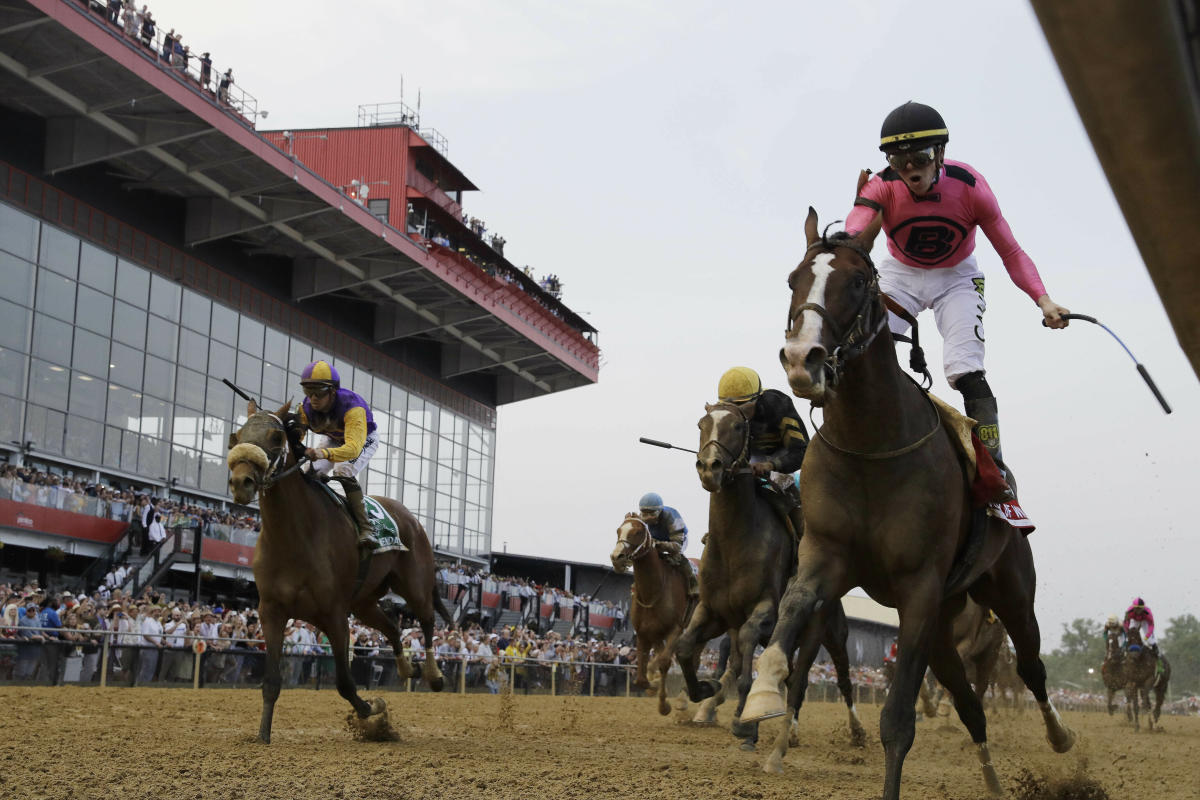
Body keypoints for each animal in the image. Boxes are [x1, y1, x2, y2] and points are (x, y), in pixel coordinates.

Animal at [224, 400, 451, 743]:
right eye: (236, 436)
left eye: (276, 437)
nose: (241, 483)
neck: (294, 538)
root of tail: (411, 518)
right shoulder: (271, 611)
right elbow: (271, 681)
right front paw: (262, 735)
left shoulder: (334, 615)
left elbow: (345, 682)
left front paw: (373, 710)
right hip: (364, 602)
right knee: (393, 627)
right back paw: (404, 668)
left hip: (415, 586)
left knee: (426, 622)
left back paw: (433, 675)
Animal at [609, 513, 696, 719]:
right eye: (618, 530)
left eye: (638, 532)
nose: (617, 557)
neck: (653, 591)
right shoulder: (643, 633)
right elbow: (641, 678)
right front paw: (652, 684)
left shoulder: (676, 629)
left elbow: (665, 662)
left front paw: (664, 705)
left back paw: (683, 699)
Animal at [676, 398, 864, 762]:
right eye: (702, 424)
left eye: (737, 426)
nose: (709, 467)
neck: (735, 541)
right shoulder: (713, 612)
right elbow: (684, 647)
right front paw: (705, 689)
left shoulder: (765, 609)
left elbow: (748, 666)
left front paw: (746, 726)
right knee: (789, 679)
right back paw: (787, 730)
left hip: (829, 633)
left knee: (835, 679)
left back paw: (855, 732)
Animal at [739, 209, 1080, 796]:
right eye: (792, 280)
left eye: (858, 281)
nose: (803, 358)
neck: (872, 444)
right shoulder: (827, 557)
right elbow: (792, 610)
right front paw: (763, 696)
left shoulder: (919, 585)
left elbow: (897, 721)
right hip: (944, 622)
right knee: (968, 703)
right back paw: (992, 780)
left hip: (1009, 591)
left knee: (1031, 667)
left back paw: (1059, 737)